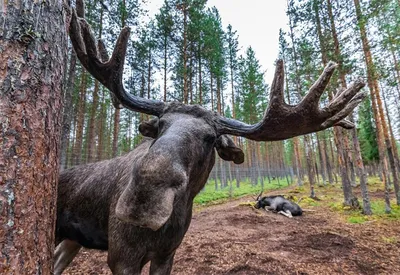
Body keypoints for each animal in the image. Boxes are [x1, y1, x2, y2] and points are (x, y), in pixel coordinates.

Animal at [54, 1, 368, 274]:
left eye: (210, 138)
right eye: (160, 126)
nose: (144, 197)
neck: (173, 220)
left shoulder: (166, 254)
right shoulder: (122, 257)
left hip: (72, 240)